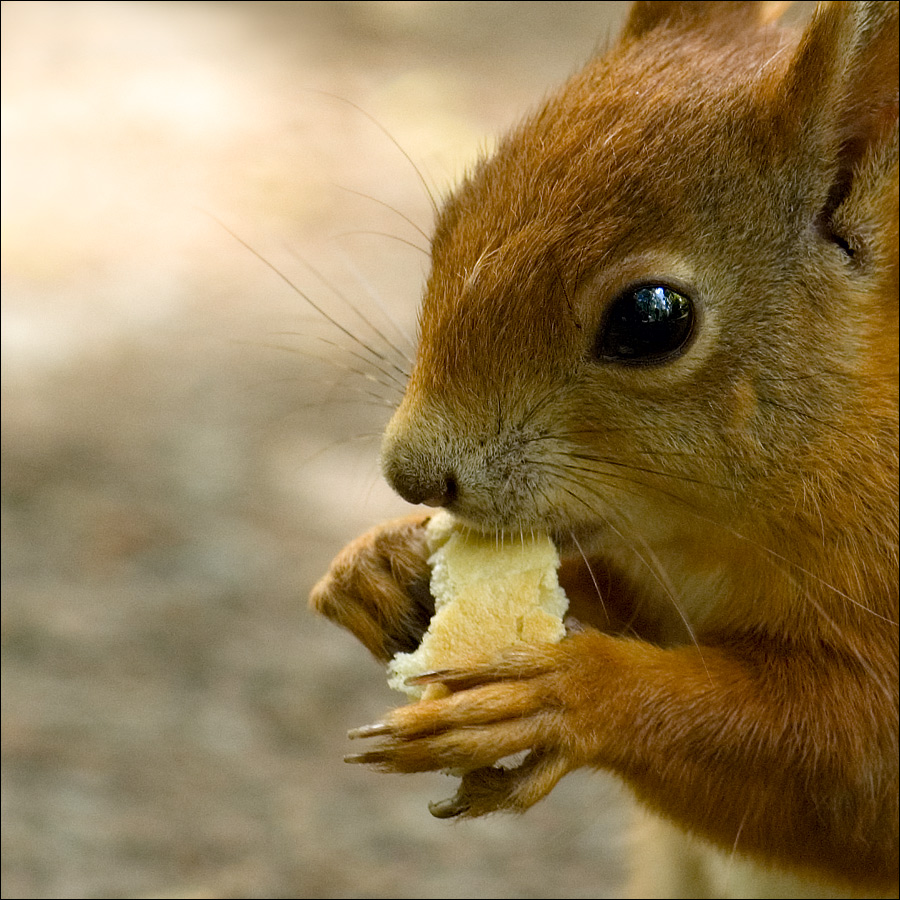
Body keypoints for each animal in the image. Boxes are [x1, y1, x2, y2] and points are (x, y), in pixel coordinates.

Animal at [308, 3, 892, 896]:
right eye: (451, 220)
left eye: (651, 318)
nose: (411, 475)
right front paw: (375, 565)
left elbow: (852, 768)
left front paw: (569, 696)